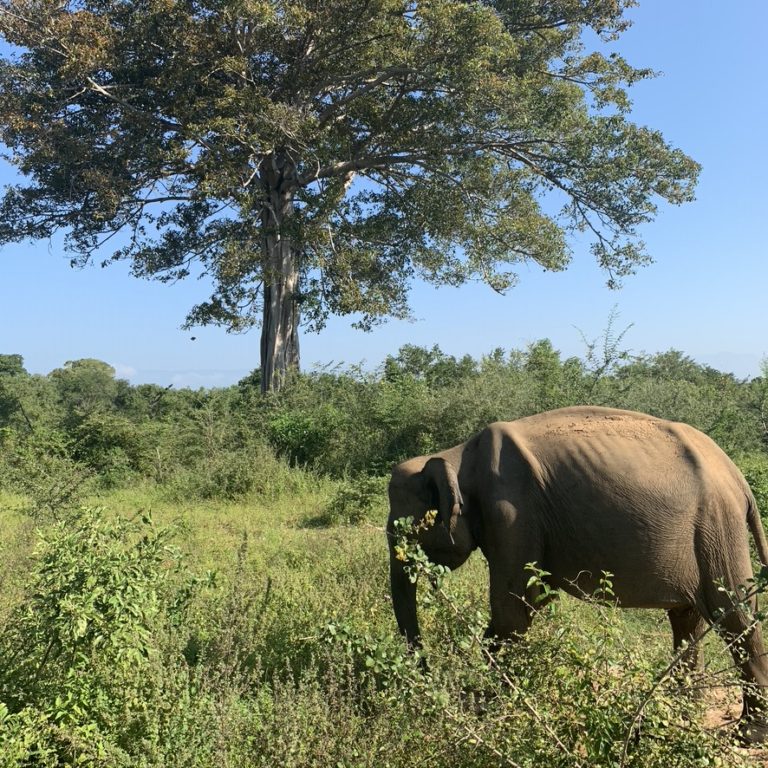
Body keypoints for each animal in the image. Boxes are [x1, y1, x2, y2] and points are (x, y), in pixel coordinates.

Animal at [388, 404, 768, 740]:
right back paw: (677, 718)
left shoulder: (511, 513)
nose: (428, 679)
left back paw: (746, 735)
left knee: (734, 615)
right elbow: (529, 604)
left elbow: (513, 610)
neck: (458, 455)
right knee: (688, 619)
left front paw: (497, 712)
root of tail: (739, 479)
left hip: (717, 526)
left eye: (404, 531)